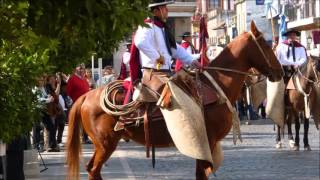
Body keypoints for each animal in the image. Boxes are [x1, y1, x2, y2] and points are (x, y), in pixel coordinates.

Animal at [66, 21, 282, 180]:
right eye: (266, 45)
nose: (280, 71)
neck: (217, 85)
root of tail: (86, 96)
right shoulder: (207, 142)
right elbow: (202, 174)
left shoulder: (205, 145)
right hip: (106, 143)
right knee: (94, 170)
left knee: (93, 169)